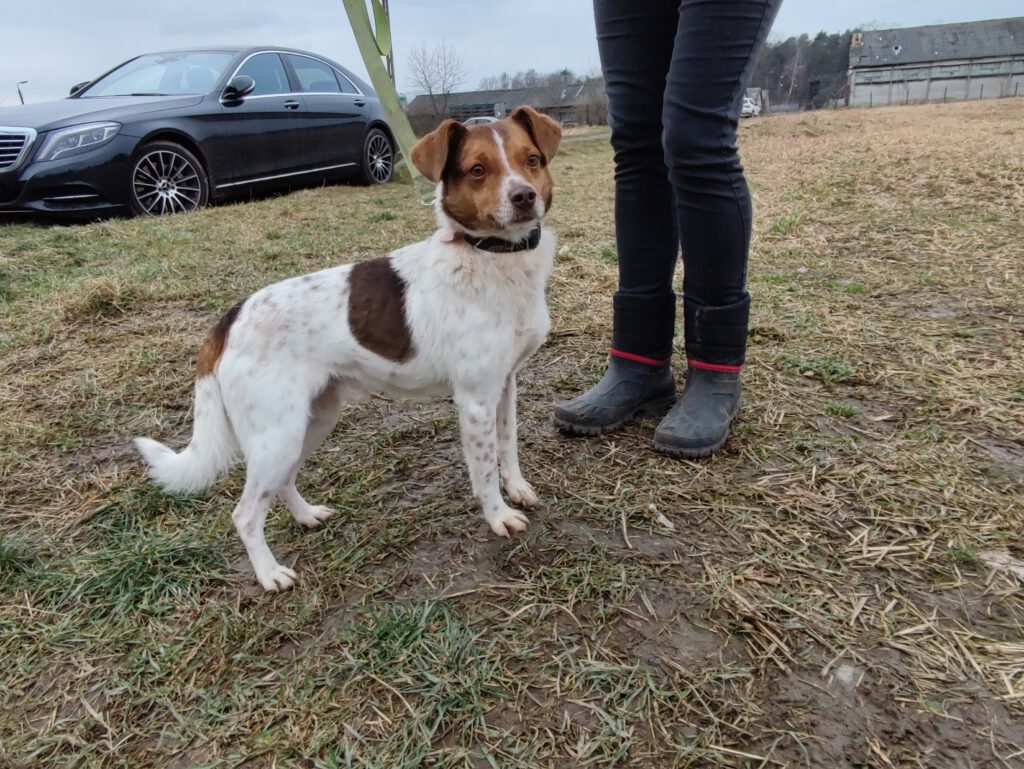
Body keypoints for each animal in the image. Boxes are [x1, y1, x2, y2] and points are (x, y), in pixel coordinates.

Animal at [134, 105, 561, 593]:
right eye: (477, 170)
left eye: (532, 159)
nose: (525, 196)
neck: (490, 256)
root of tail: (231, 317)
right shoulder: (474, 400)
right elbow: (484, 469)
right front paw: (498, 516)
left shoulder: (505, 384)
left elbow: (508, 446)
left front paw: (518, 489)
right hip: (277, 435)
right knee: (244, 513)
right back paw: (269, 574)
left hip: (311, 420)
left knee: (283, 483)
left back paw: (306, 516)